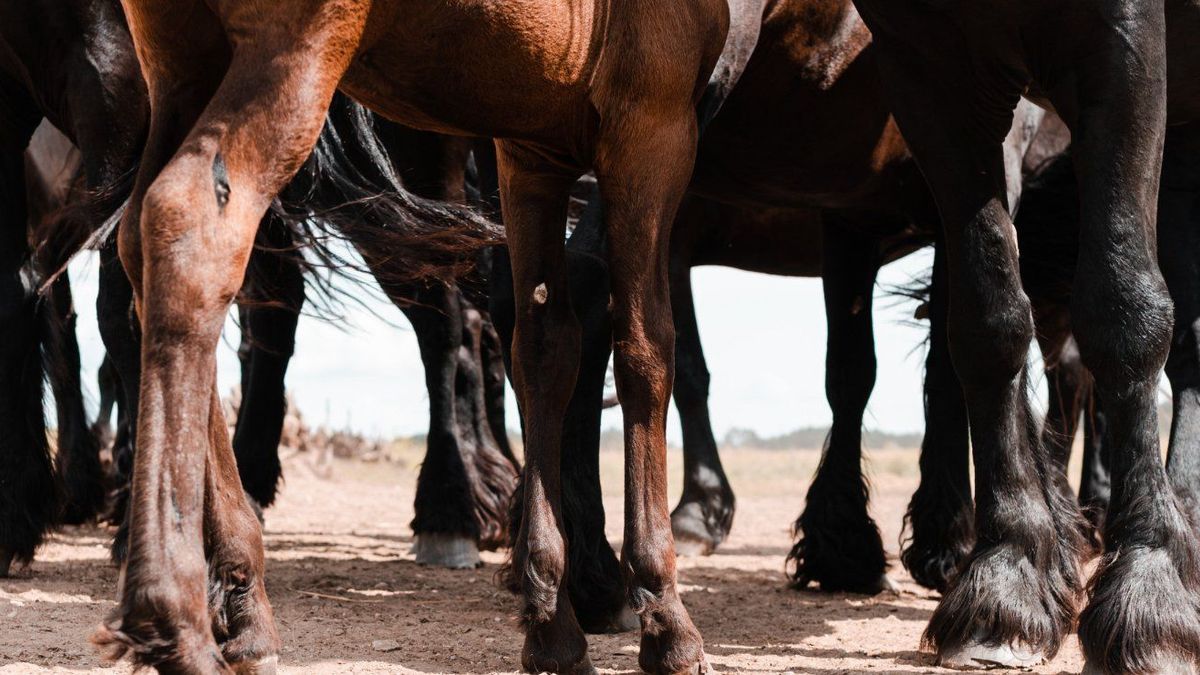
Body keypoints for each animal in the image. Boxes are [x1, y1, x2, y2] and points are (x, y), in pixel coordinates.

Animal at [853, 0, 1200, 670]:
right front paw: (1006, 581)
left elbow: (1124, 308)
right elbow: (987, 319)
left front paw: (1152, 596)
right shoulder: (925, 64)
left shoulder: (1123, 41)